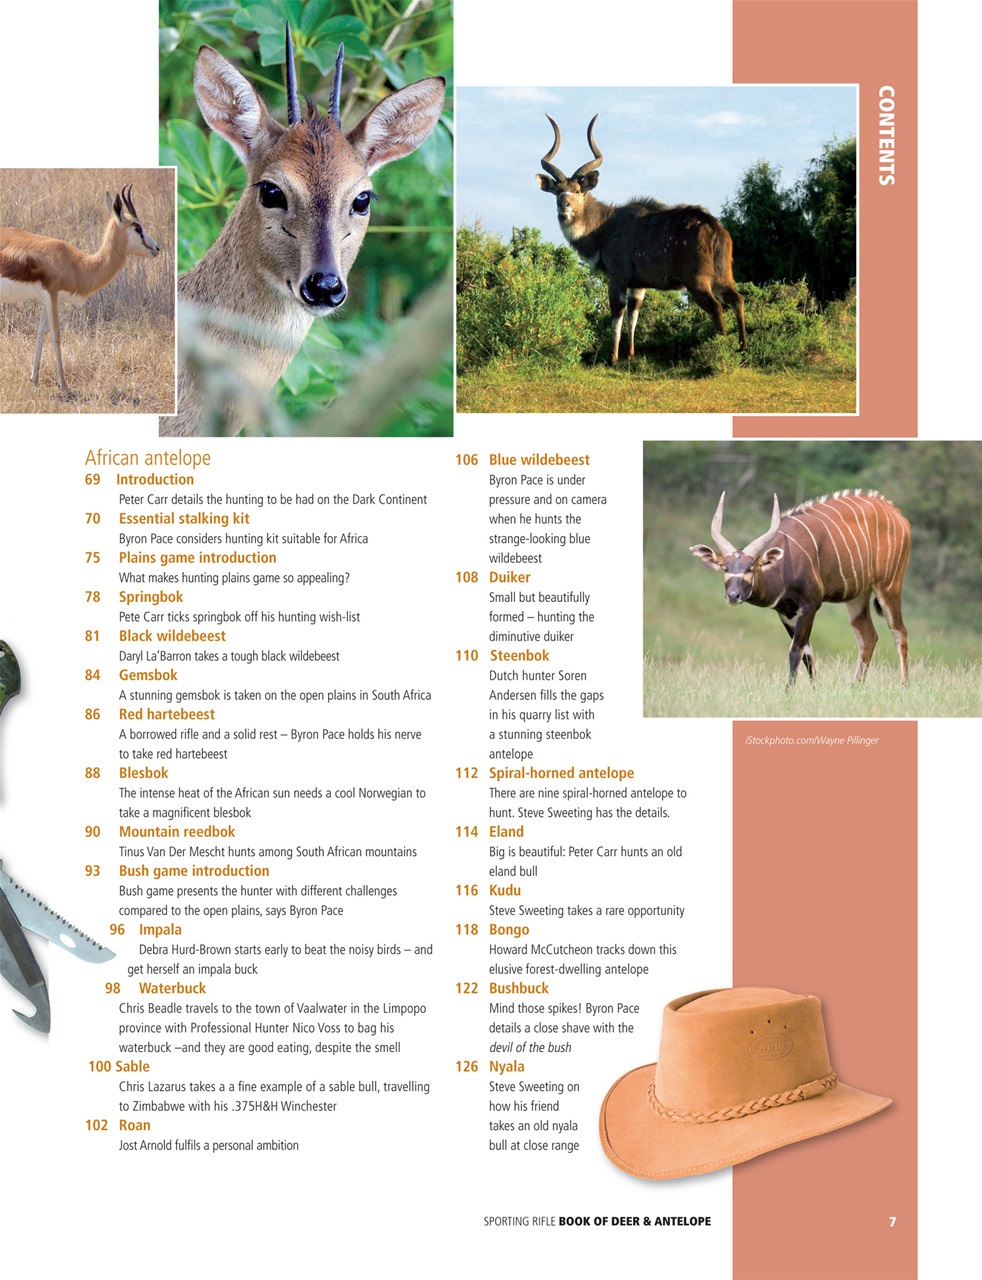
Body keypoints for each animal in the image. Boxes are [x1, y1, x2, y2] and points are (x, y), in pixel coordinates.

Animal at [0, 186, 160, 394]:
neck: (76, 264)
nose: (157, 248)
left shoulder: (48, 298)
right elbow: (56, 335)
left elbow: (41, 332)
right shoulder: (51, 294)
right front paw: (64, 386)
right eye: (138, 227)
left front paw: (34, 380)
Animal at [535, 115, 748, 364]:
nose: (564, 205)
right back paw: (743, 348)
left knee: (717, 307)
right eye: (557, 191)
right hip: (722, 275)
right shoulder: (638, 285)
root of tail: (713, 226)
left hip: (697, 280)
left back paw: (721, 350)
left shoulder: (617, 277)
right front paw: (630, 354)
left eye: (578, 190)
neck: (604, 227)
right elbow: (633, 315)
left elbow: (616, 315)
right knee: (737, 299)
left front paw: (613, 358)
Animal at [690, 490, 911, 687]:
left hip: (889, 586)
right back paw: (855, 686)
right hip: (857, 597)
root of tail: (899, 516)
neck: (784, 564)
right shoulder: (786, 612)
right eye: (726, 568)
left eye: (750, 567)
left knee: (899, 632)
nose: (733, 595)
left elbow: (796, 649)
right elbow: (807, 653)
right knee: (868, 637)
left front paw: (789, 691)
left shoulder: (810, 605)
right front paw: (815, 690)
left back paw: (904, 685)